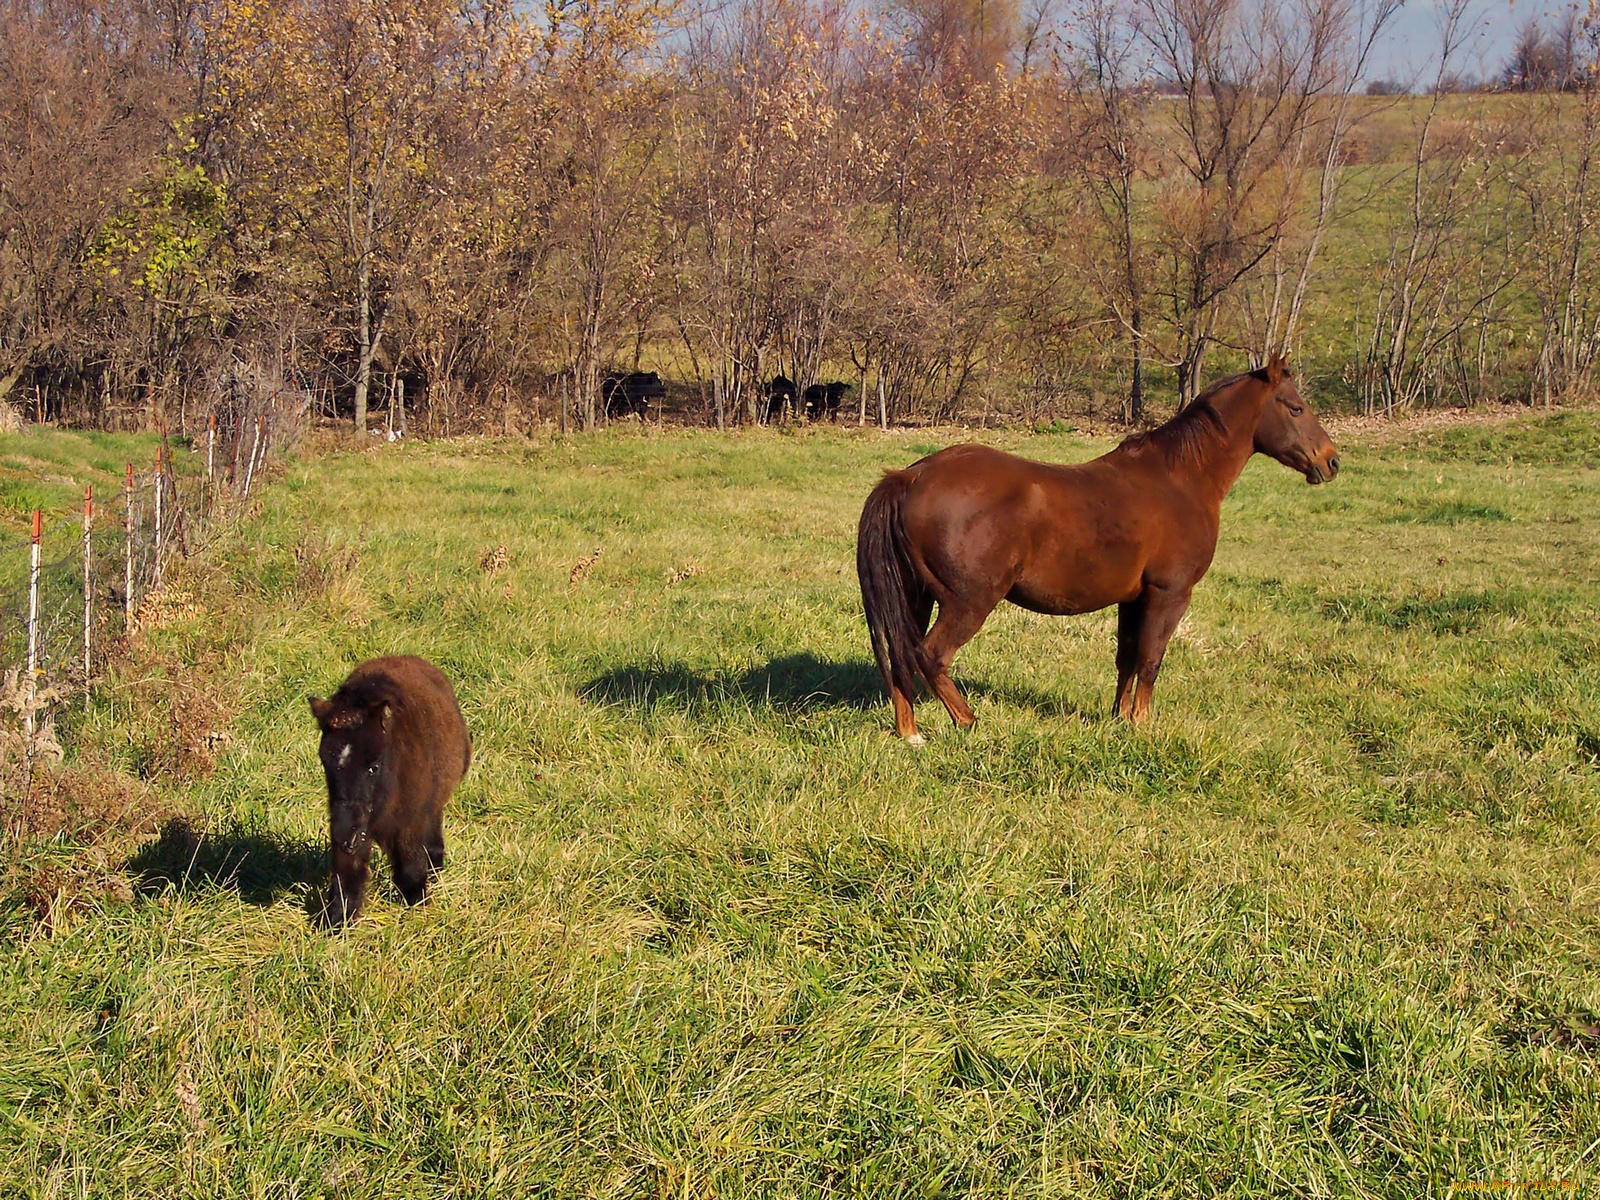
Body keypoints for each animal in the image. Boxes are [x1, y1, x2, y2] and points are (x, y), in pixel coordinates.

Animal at [305, 659, 467, 928]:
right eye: (326, 762)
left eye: (374, 766)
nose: (346, 837)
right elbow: (347, 879)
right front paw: (336, 922)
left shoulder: (410, 823)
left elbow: (411, 870)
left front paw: (417, 908)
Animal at [864, 356, 1337, 748]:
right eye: (1295, 407)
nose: (1331, 461)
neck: (1179, 480)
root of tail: (910, 477)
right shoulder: (1169, 594)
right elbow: (1150, 659)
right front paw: (1143, 725)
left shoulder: (1133, 598)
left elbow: (1126, 657)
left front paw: (1120, 719)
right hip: (969, 602)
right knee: (931, 655)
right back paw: (967, 720)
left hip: (916, 595)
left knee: (902, 652)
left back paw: (911, 733)